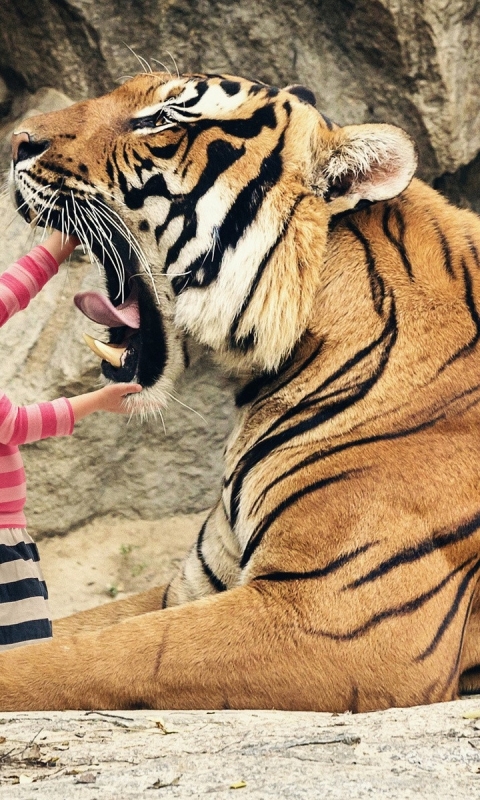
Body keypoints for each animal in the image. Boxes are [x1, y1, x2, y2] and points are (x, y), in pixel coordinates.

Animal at [2, 70, 480, 712]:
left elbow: (90, 657)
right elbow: (73, 633)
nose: (16, 140)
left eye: (163, 119)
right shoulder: (200, 580)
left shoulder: (332, 615)